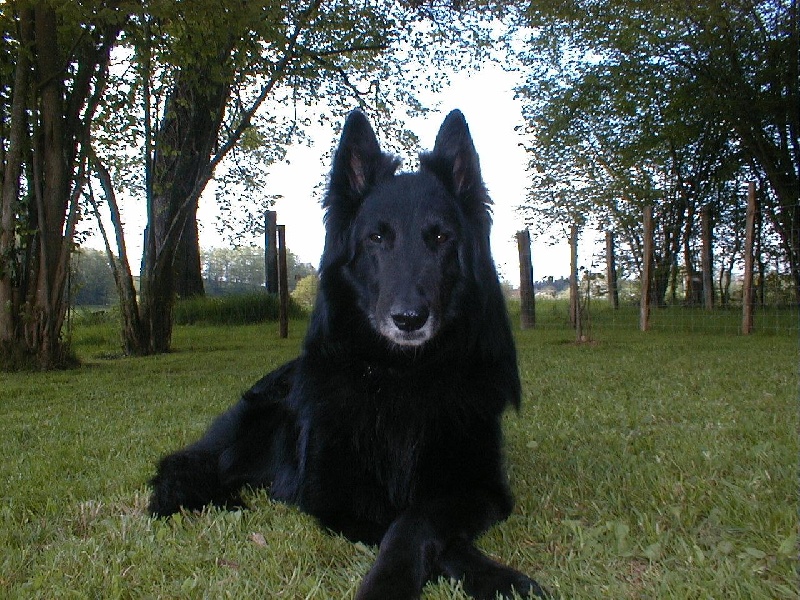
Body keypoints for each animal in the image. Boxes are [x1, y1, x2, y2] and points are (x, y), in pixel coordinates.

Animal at [148, 110, 548, 596]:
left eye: (440, 238)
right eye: (376, 237)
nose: (409, 318)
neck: (402, 375)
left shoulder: (481, 487)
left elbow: (417, 520)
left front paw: (497, 578)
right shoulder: (335, 499)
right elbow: (404, 526)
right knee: (190, 465)